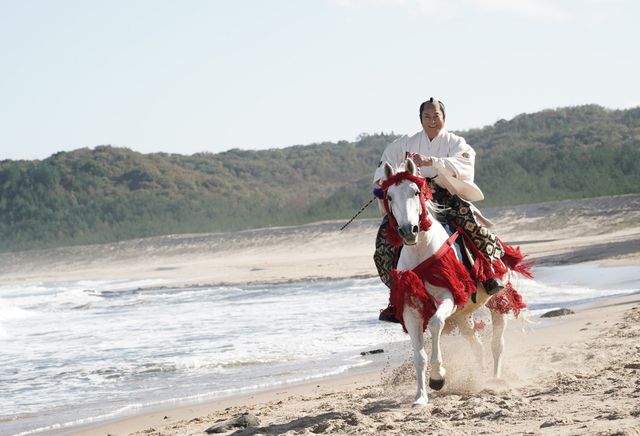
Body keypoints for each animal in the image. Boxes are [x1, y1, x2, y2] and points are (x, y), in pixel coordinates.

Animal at [381, 159, 531, 407]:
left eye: (415, 192)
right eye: (390, 197)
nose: (408, 231)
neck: (421, 252)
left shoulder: (448, 297)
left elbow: (435, 324)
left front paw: (438, 377)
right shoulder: (411, 308)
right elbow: (419, 355)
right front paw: (420, 397)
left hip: (497, 300)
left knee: (496, 343)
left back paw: (494, 379)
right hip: (463, 316)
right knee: (477, 346)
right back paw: (479, 376)